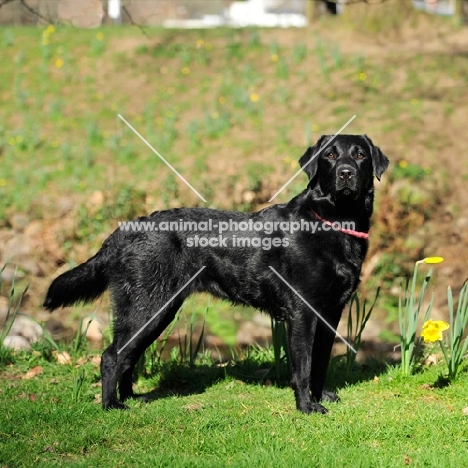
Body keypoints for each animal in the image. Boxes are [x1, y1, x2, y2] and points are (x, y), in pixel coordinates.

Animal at [44, 134, 388, 414]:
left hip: (158, 312)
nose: (346, 173)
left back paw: (131, 398)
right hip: (146, 308)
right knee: (111, 356)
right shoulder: (302, 312)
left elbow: (320, 362)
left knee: (128, 355)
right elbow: (303, 367)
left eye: (360, 155)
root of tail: (128, 228)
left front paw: (322, 397)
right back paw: (111, 405)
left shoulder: (332, 312)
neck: (332, 223)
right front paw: (306, 407)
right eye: (330, 155)